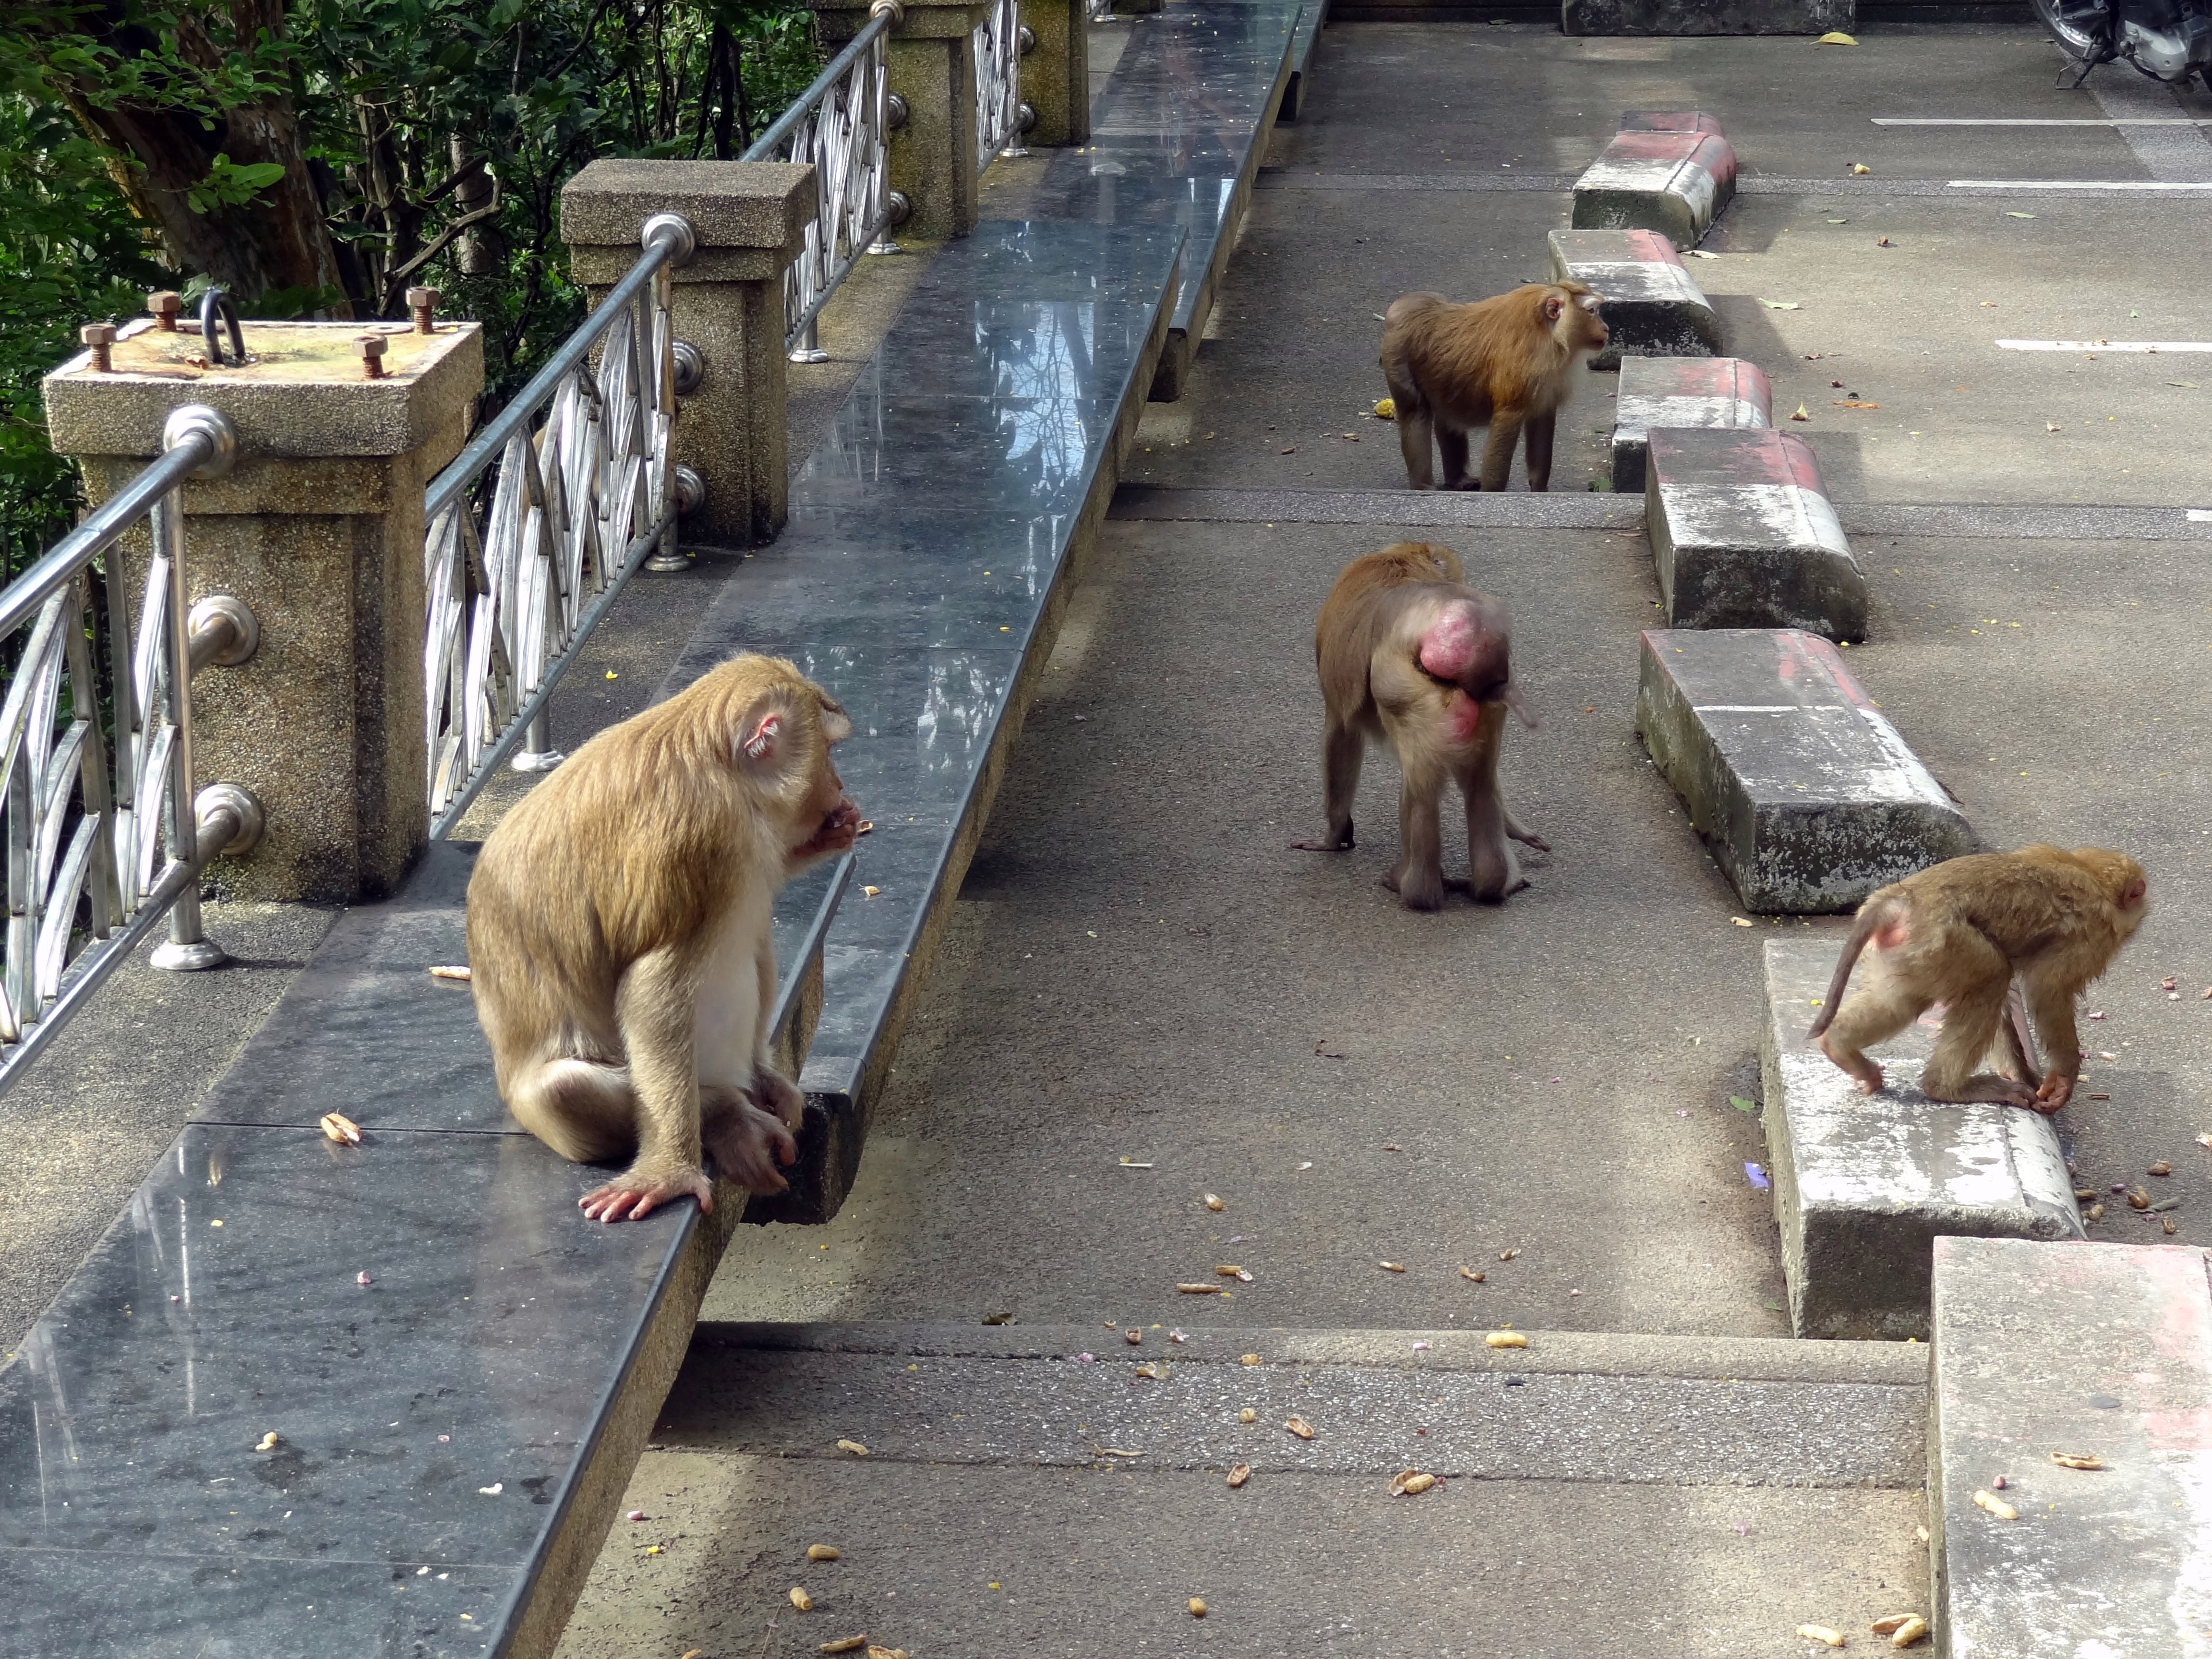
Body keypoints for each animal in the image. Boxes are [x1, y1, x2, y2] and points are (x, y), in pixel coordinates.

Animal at [469, 654, 863, 1221]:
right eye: (828, 751)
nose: (838, 783)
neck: (717, 765)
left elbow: (770, 870)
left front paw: (831, 834)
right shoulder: (701, 841)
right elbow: (652, 991)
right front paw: (671, 1171)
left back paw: (759, 1077)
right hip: (545, 1104)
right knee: (564, 1090)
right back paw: (723, 1112)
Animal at [1292, 541, 1548, 911]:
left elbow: (1341, 731)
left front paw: (1333, 836)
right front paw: (1517, 829)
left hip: (1407, 691)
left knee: (1419, 789)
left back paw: (1415, 890)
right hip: (1486, 705)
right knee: (1481, 783)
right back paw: (1492, 884)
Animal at [1380, 279, 1610, 493]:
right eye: (1592, 311)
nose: (1606, 328)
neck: (1550, 335)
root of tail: (1405, 305)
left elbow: (1541, 420)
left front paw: (1539, 490)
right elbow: (1506, 421)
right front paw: (1492, 492)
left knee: (1448, 417)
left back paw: (1458, 479)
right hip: (1397, 354)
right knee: (1415, 412)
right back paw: (1424, 486)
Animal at [1805, 849, 2150, 1110]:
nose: (2136, 928)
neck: (2091, 872)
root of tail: (1901, 899)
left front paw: (2020, 1072)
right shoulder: (2092, 935)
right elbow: (2047, 988)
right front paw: (2064, 1076)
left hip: (1910, 952)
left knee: (1898, 1001)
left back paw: (1839, 1046)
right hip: (1943, 941)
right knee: (1992, 975)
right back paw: (1947, 1087)